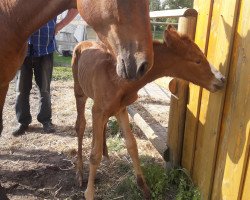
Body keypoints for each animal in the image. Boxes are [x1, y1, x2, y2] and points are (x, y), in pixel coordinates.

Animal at [72, 25, 225, 199]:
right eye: (198, 60)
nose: (221, 80)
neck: (118, 79)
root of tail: (83, 43)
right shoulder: (99, 111)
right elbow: (94, 155)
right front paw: (89, 193)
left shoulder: (120, 109)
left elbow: (132, 145)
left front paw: (144, 187)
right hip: (80, 93)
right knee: (80, 126)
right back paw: (79, 174)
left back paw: (105, 152)